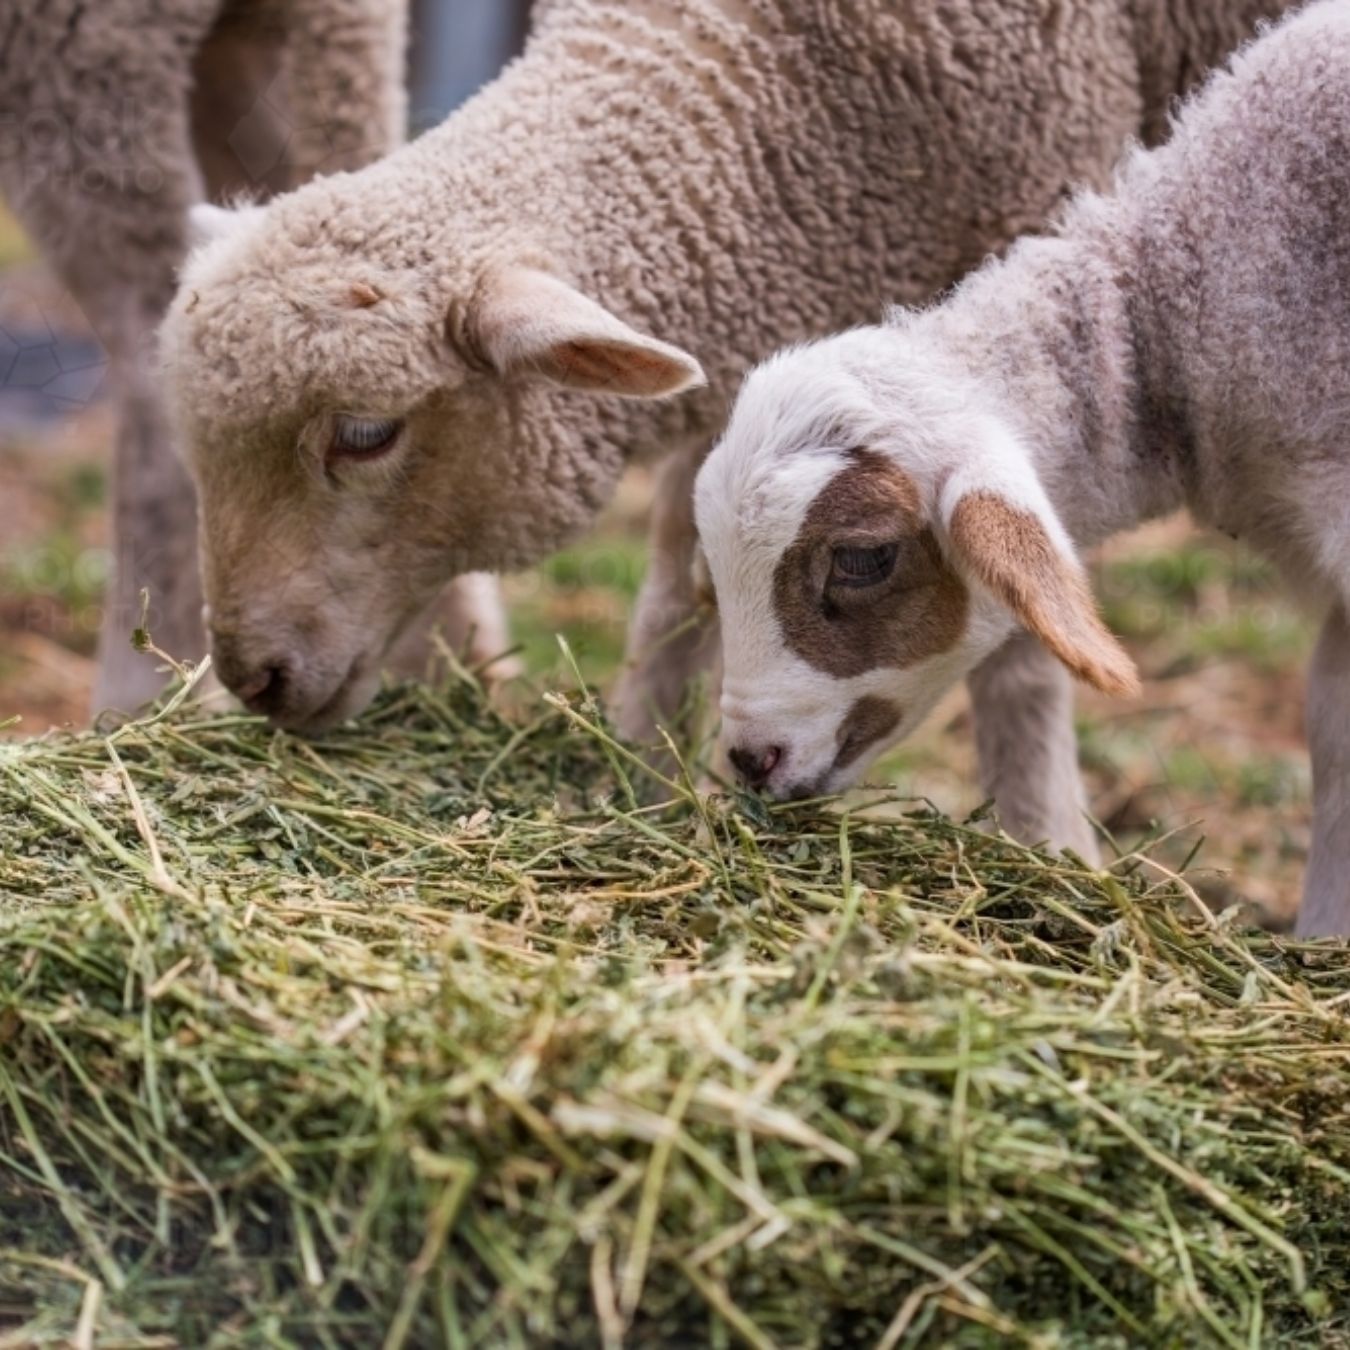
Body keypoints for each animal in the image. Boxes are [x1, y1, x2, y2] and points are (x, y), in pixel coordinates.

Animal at [161, 0, 1289, 817]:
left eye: (366, 434)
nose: (251, 679)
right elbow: (677, 584)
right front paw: (637, 778)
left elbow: (1017, 647)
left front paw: (1043, 840)